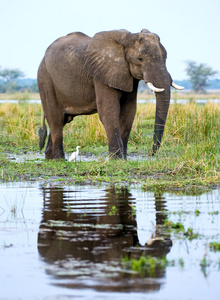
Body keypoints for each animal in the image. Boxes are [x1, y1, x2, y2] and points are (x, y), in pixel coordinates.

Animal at [37, 28, 182, 159]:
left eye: (166, 56)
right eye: (140, 59)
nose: (150, 154)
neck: (128, 38)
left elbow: (128, 113)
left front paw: (123, 158)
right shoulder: (101, 73)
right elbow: (109, 111)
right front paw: (116, 159)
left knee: (62, 120)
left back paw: (50, 157)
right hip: (45, 79)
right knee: (56, 119)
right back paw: (59, 159)